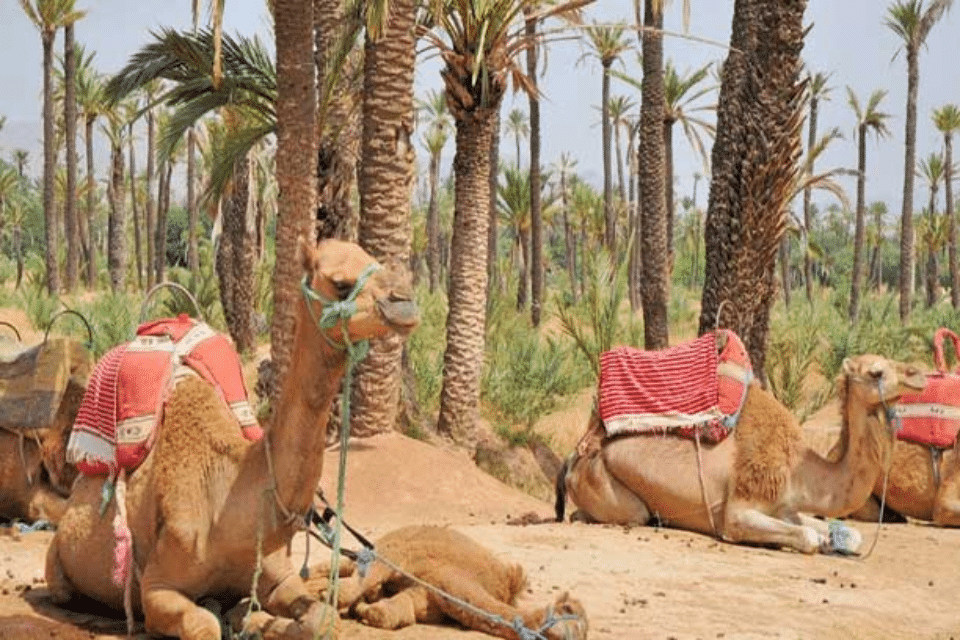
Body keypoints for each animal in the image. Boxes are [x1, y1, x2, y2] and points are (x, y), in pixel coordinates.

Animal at [44, 238, 418, 640]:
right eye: (340, 283)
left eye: (373, 259)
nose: (405, 303)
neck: (230, 501)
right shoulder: (157, 587)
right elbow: (202, 623)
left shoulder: (278, 575)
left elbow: (322, 618)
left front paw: (262, 621)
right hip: (58, 565)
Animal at [305, 525, 587, 640]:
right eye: (569, 611)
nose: (579, 635)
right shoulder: (400, 556)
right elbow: (363, 584)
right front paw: (328, 597)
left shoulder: (426, 597)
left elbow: (390, 613)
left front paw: (364, 608)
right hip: (384, 546)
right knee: (339, 565)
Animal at [556, 353, 926, 554]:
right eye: (876, 372)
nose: (919, 374)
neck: (799, 469)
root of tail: (574, 458)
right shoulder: (739, 510)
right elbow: (807, 536)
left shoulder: (785, 507)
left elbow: (844, 533)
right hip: (612, 489)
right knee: (616, 514)